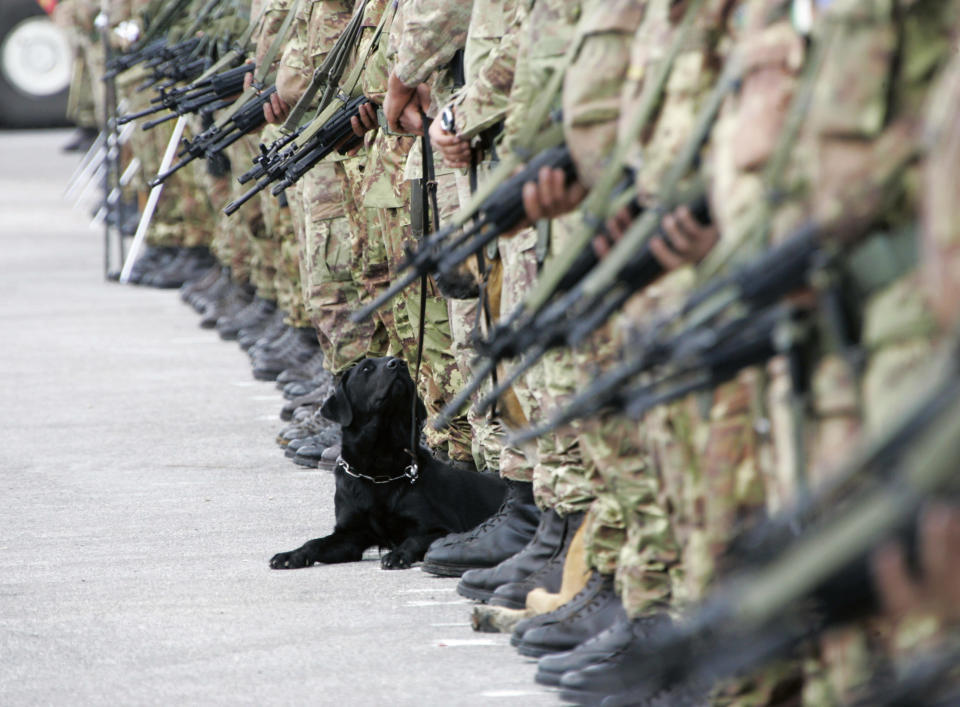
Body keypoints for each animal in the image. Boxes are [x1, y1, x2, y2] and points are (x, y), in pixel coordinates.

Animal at [270, 356, 506, 572]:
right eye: (366, 369)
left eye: (402, 364)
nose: (398, 363)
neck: (379, 468)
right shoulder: (350, 535)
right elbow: (315, 542)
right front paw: (291, 555)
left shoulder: (443, 529)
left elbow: (413, 539)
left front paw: (397, 555)